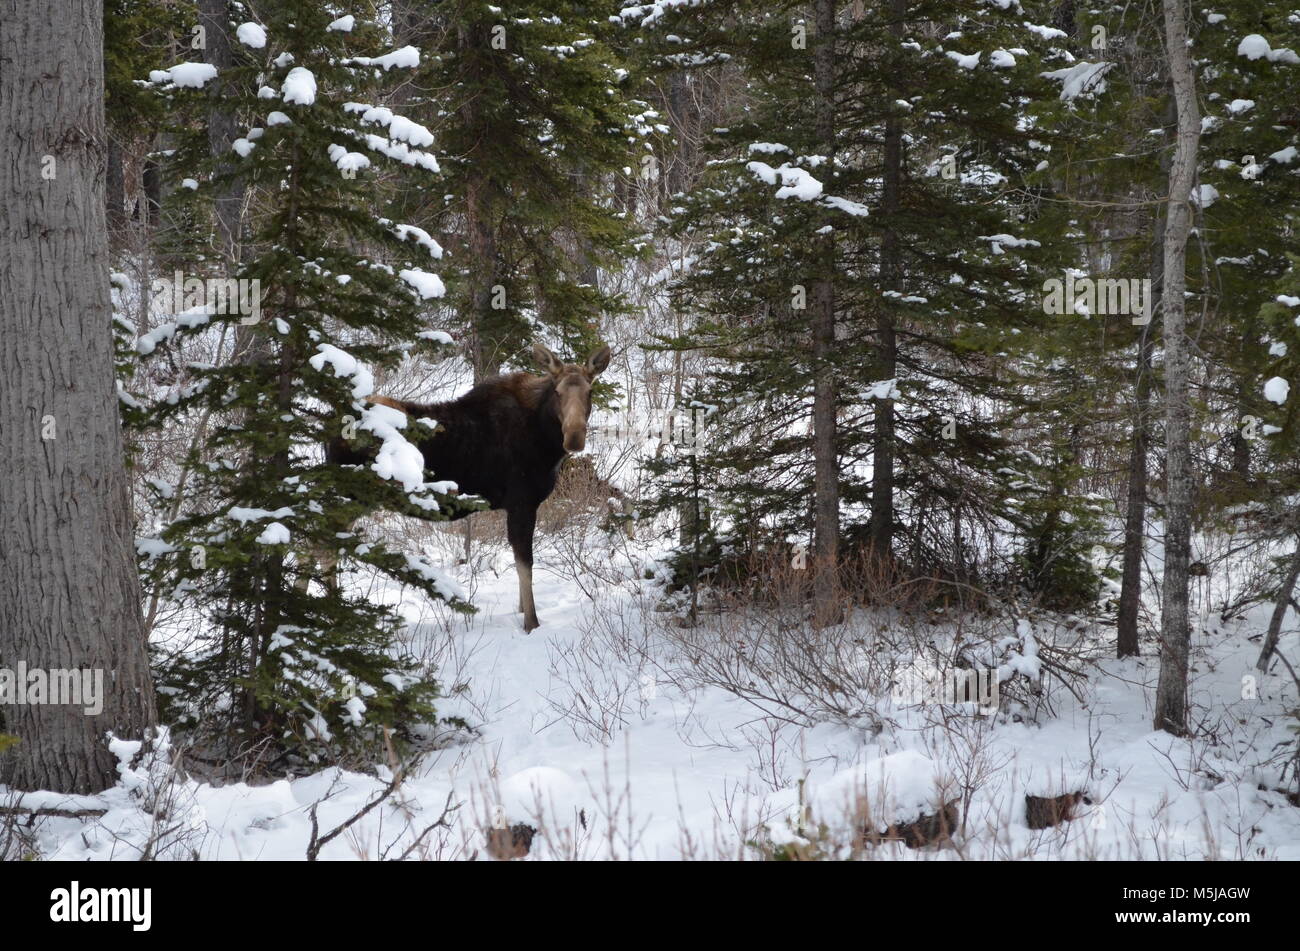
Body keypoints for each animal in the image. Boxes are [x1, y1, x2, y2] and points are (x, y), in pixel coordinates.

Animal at [322, 342, 611, 631]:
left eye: (590, 391)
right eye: (557, 392)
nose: (574, 438)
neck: (545, 442)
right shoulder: (522, 502)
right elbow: (525, 565)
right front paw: (531, 623)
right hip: (351, 496)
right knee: (322, 548)